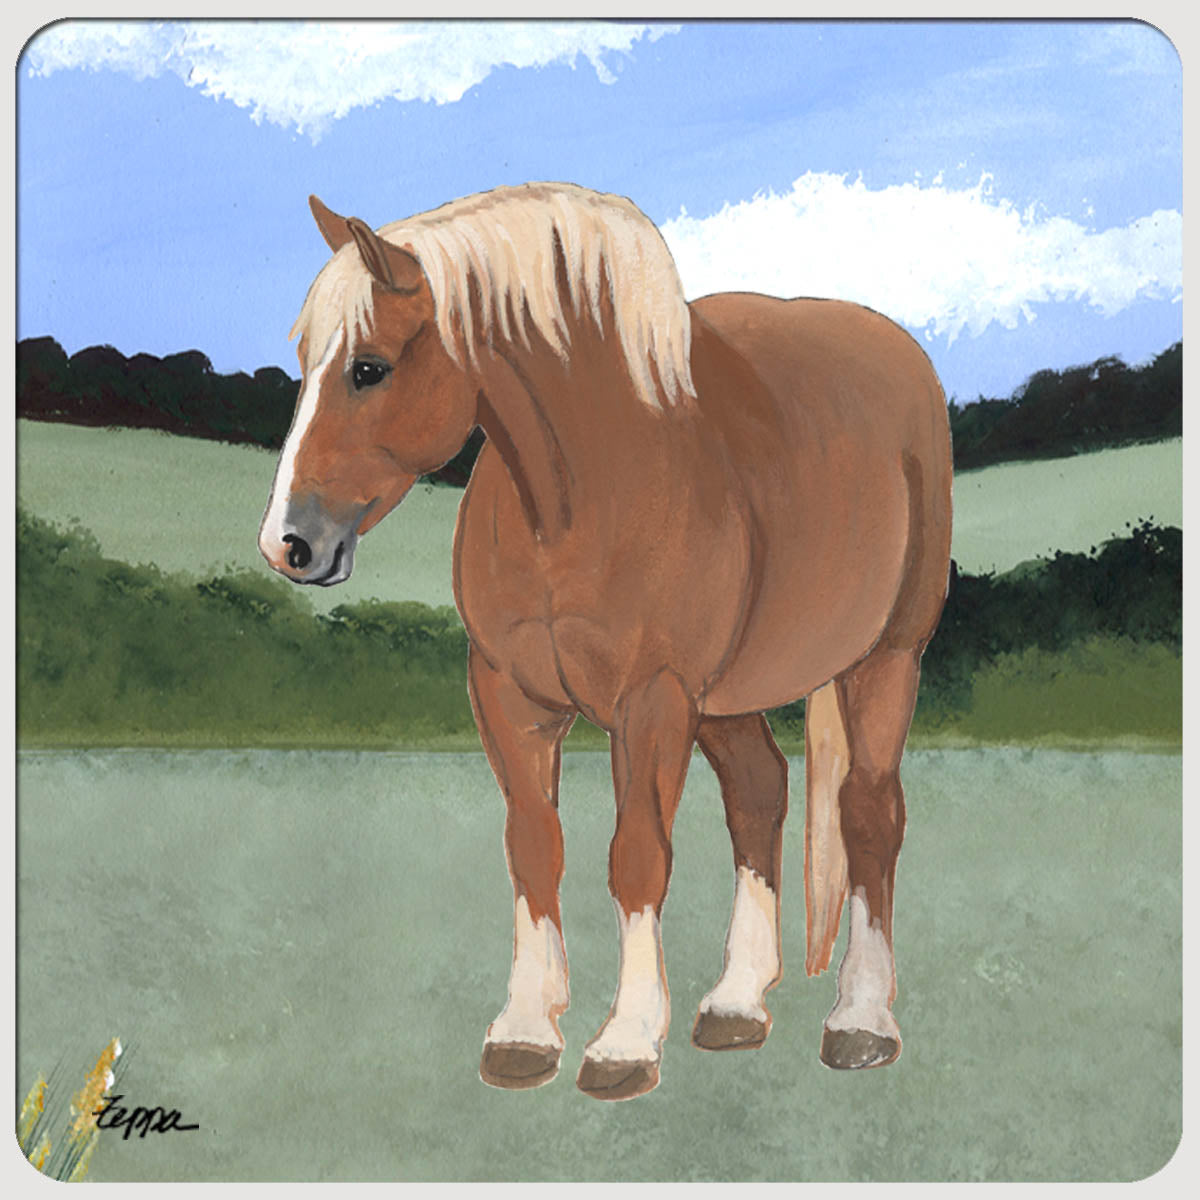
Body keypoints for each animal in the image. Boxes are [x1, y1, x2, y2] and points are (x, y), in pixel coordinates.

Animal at [259, 182, 953, 1102]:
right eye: (306, 362)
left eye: (368, 367)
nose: (287, 544)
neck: (577, 495)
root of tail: (896, 351)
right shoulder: (508, 695)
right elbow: (534, 847)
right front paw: (525, 1030)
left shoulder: (652, 700)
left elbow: (636, 857)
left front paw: (624, 1041)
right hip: (726, 698)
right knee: (760, 794)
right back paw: (737, 1004)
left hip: (886, 661)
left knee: (870, 814)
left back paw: (862, 1019)